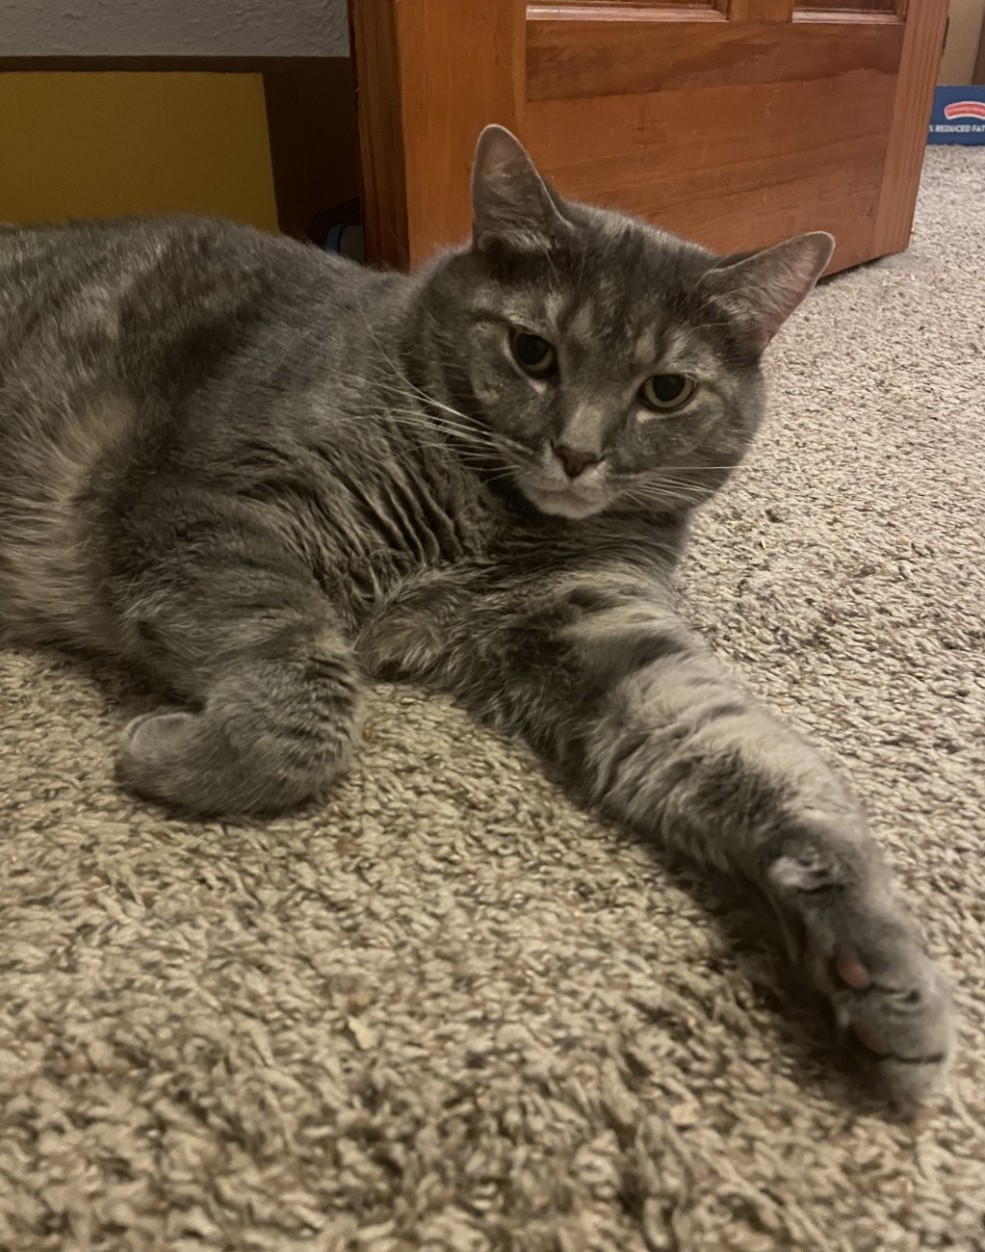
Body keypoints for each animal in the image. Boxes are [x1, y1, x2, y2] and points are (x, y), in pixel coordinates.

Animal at [0, 127, 956, 1101]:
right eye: (532, 352)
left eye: (665, 392)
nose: (575, 452)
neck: (485, 518)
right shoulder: (201, 509)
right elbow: (303, 695)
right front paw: (175, 757)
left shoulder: (600, 628)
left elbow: (765, 763)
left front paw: (879, 963)